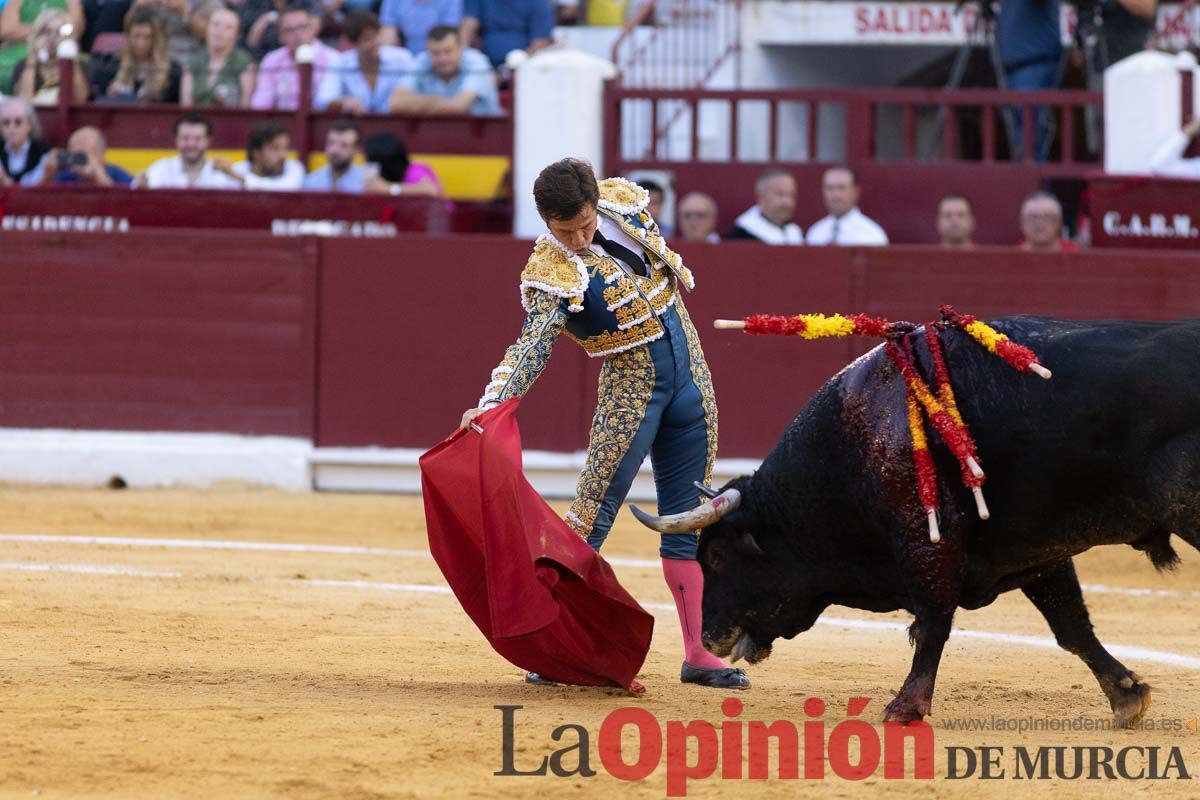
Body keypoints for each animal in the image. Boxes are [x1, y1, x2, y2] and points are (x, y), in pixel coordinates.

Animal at [633, 316, 1195, 724]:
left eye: (718, 555)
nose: (710, 637)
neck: (850, 448)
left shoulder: (929, 546)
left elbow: (930, 626)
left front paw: (904, 708)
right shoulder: (1038, 553)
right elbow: (1071, 625)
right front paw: (1127, 695)